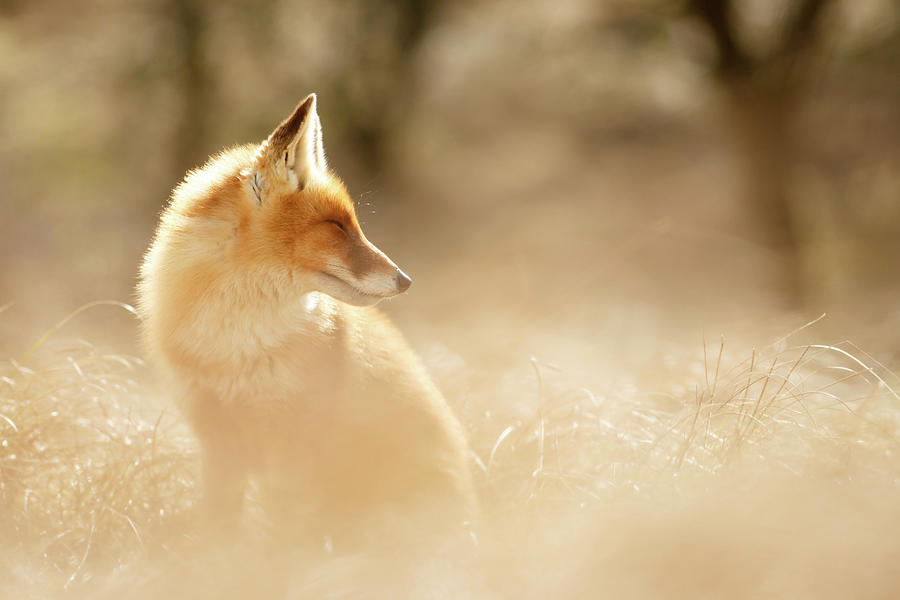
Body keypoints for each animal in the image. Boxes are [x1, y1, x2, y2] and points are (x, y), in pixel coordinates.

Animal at [137, 95, 474, 552]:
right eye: (337, 227)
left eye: (354, 225)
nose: (405, 280)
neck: (234, 346)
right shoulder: (217, 443)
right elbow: (219, 532)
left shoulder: (292, 449)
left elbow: (285, 541)